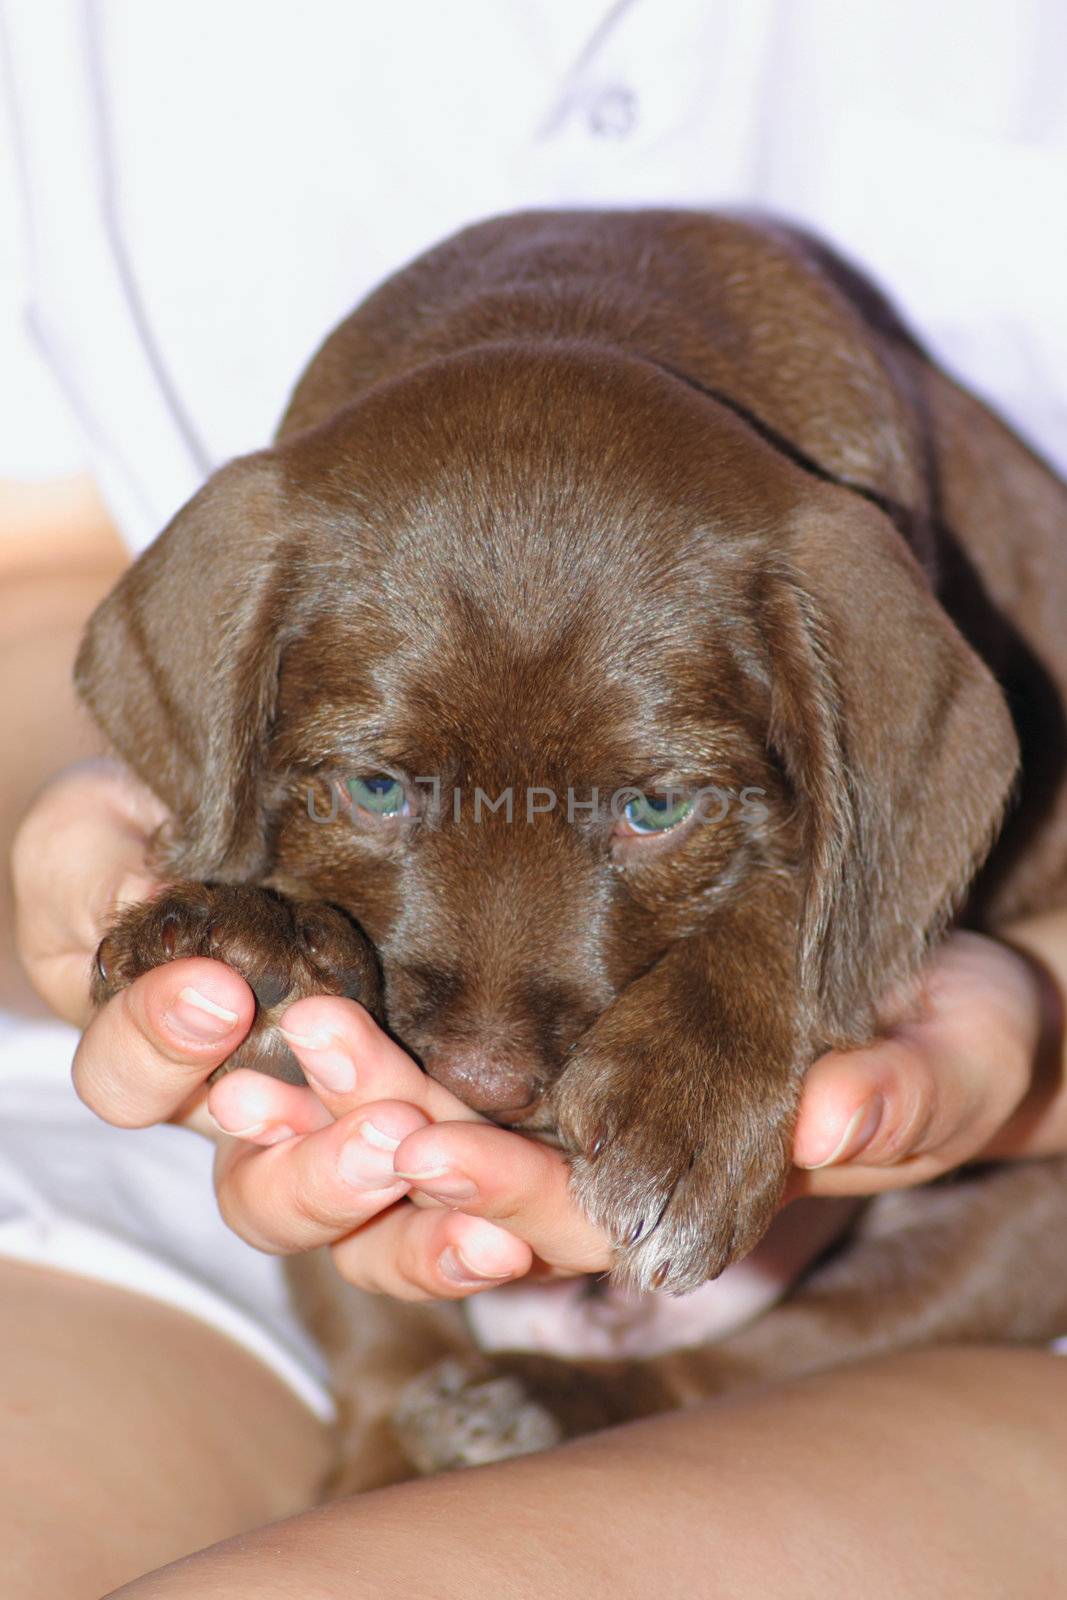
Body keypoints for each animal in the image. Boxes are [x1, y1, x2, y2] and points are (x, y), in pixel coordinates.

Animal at [79, 212, 1067, 1484]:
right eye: (375, 787)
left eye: (654, 810)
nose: (482, 1089)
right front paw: (253, 933)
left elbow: (793, 890)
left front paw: (681, 1098)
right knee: (383, 1363)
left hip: (1020, 1231)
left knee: (728, 1368)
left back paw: (536, 1403)